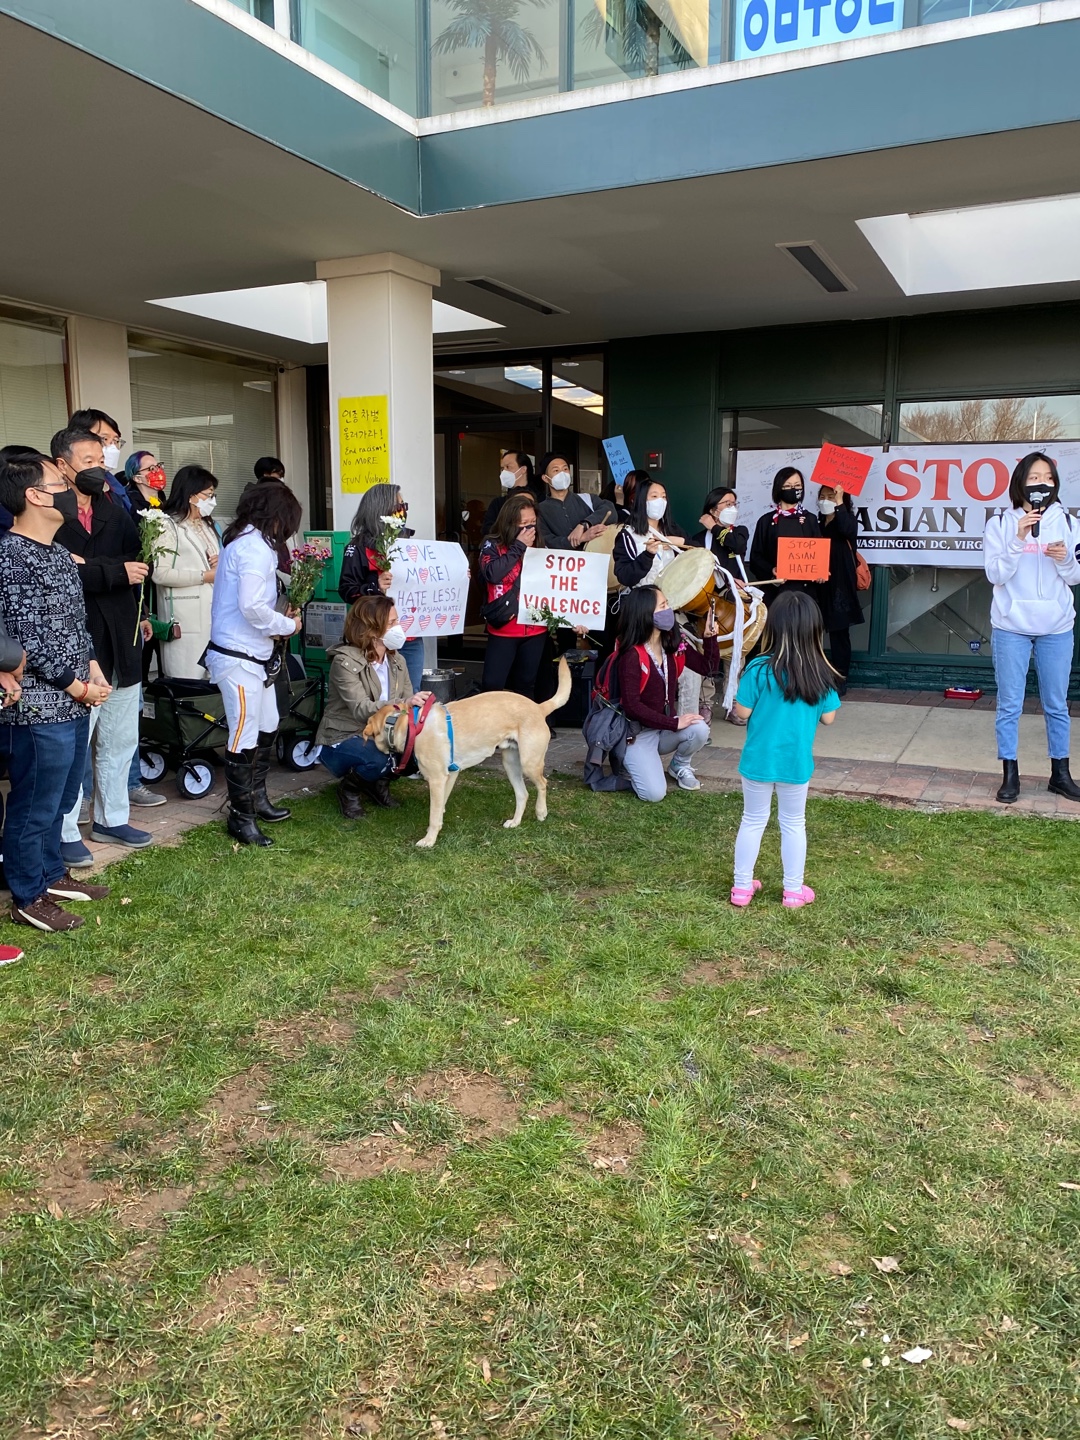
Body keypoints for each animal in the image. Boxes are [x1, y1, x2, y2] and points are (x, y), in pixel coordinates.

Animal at [361, 659, 576, 846]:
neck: (410, 724)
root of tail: (538, 707)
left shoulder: (437, 779)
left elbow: (433, 814)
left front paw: (429, 840)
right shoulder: (450, 775)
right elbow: (440, 809)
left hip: (529, 763)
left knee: (543, 784)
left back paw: (541, 812)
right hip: (511, 765)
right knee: (523, 794)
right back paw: (515, 822)